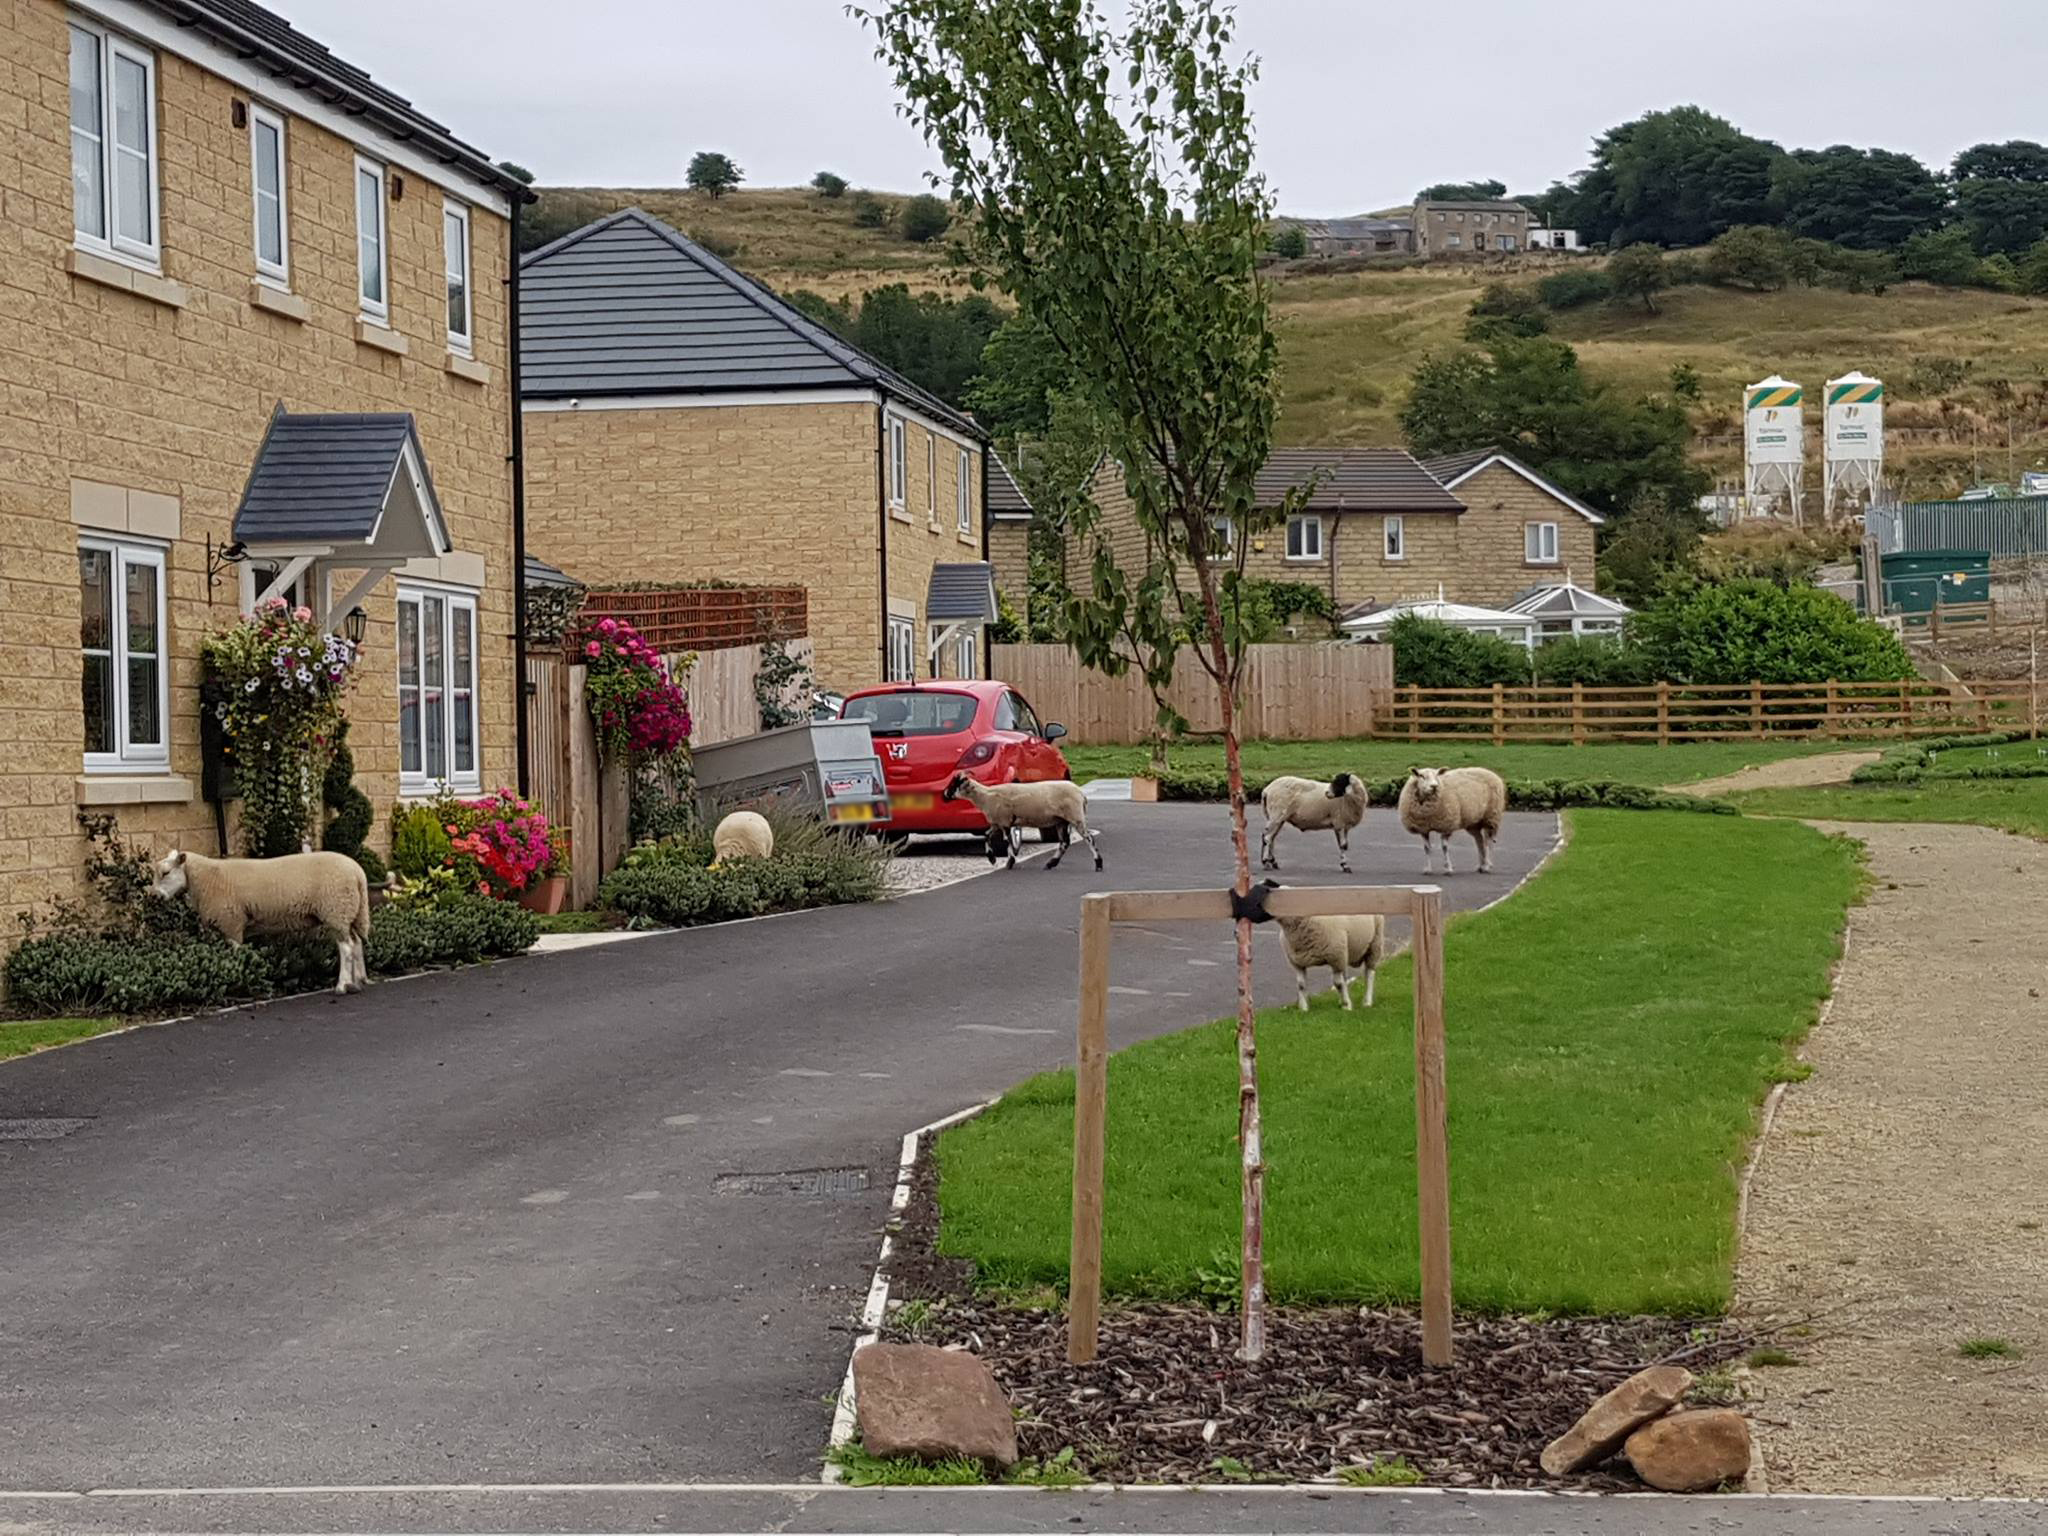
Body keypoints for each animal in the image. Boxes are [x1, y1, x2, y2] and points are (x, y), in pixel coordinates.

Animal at [154, 856, 376, 999]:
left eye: (166, 873)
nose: (154, 896)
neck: (204, 878)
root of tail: (358, 873)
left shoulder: (232, 923)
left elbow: (237, 954)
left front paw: (239, 979)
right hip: (350, 912)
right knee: (356, 942)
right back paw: (359, 981)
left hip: (336, 910)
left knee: (346, 947)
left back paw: (342, 986)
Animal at [942, 774, 1105, 872]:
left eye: (954, 784)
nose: (944, 795)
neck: (985, 796)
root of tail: (1081, 794)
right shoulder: (997, 822)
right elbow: (987, 836)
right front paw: (992, 859)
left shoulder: (1005, 821)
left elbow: (1008, 842)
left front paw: (1010, 862)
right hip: (1061, 821)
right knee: (1064, 843)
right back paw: (1051, 863)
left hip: (1075, 816)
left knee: (1089, 838)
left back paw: (1098, 864)